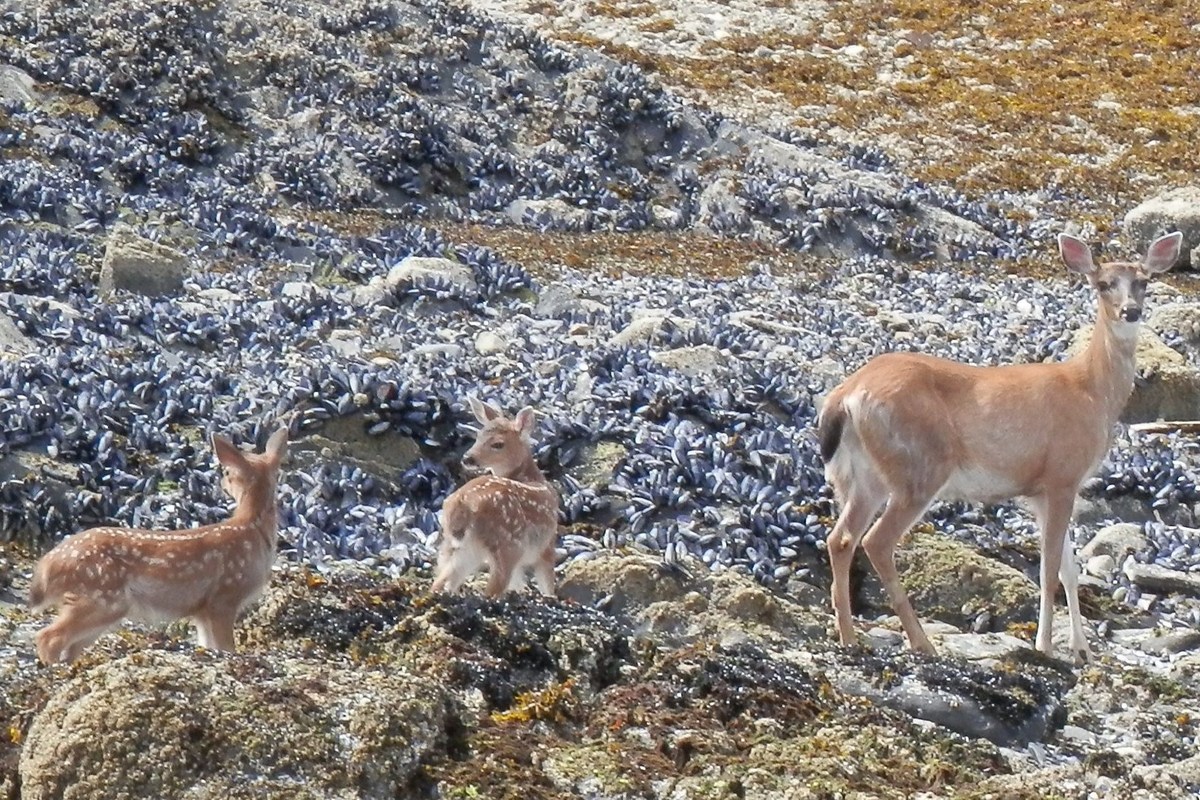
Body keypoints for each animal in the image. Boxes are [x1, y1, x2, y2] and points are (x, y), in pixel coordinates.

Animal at [29, 424, 288, 662]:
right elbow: (226, 648)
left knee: (67, 646)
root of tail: (48, 564)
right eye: (226, 472)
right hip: (101, 597)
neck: (251, 528)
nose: (221, 484)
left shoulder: (202, 611)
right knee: (48, 637)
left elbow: (208, 645)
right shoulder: (224, 597)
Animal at [434, 398, 559, 597]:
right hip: (508, 547)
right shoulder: (547, 545)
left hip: (457, 547)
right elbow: (547, 586)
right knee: (493, 588)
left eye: (498, 444)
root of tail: (463, 505)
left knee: (441, 581)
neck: (534, 478)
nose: (468, 458)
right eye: (478, 436)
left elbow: (519, 583)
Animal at [816, 231, 1180, 662]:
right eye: (1103, 283)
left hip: (862, 475)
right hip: (919, 466)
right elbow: (1049, 568)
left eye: (1143, 281)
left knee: (840, 538)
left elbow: (1069, 570)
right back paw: (921, 642)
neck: (1090, 391)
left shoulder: (1043, 489)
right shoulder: (1062, 475)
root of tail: (846, 395)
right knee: (877, 541)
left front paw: (1081, 651)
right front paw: (1044, 646)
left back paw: (849, 637)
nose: (1131, 311)